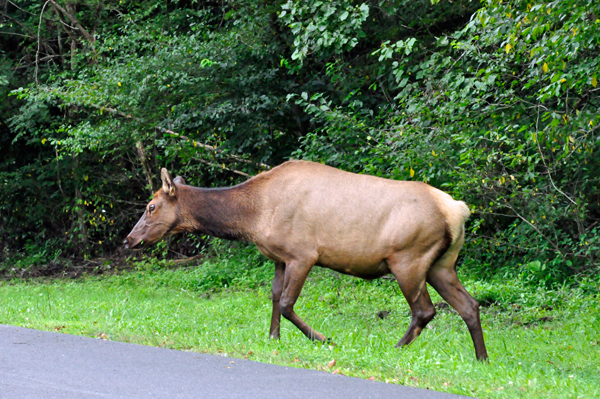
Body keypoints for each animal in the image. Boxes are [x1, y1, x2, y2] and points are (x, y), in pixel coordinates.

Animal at [125, 160, 488, 362]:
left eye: (151, 207)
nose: (130, 239)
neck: (253, 215)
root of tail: (457, 211)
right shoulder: (279, 257)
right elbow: (274, 297)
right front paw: (273, 338)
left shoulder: (303, 254)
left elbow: (287, 303)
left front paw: (324, 339)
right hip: (441, 264)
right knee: (469, 304)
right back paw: (481, 358)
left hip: (408, 258)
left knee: (424, 310)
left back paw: (395, 348)